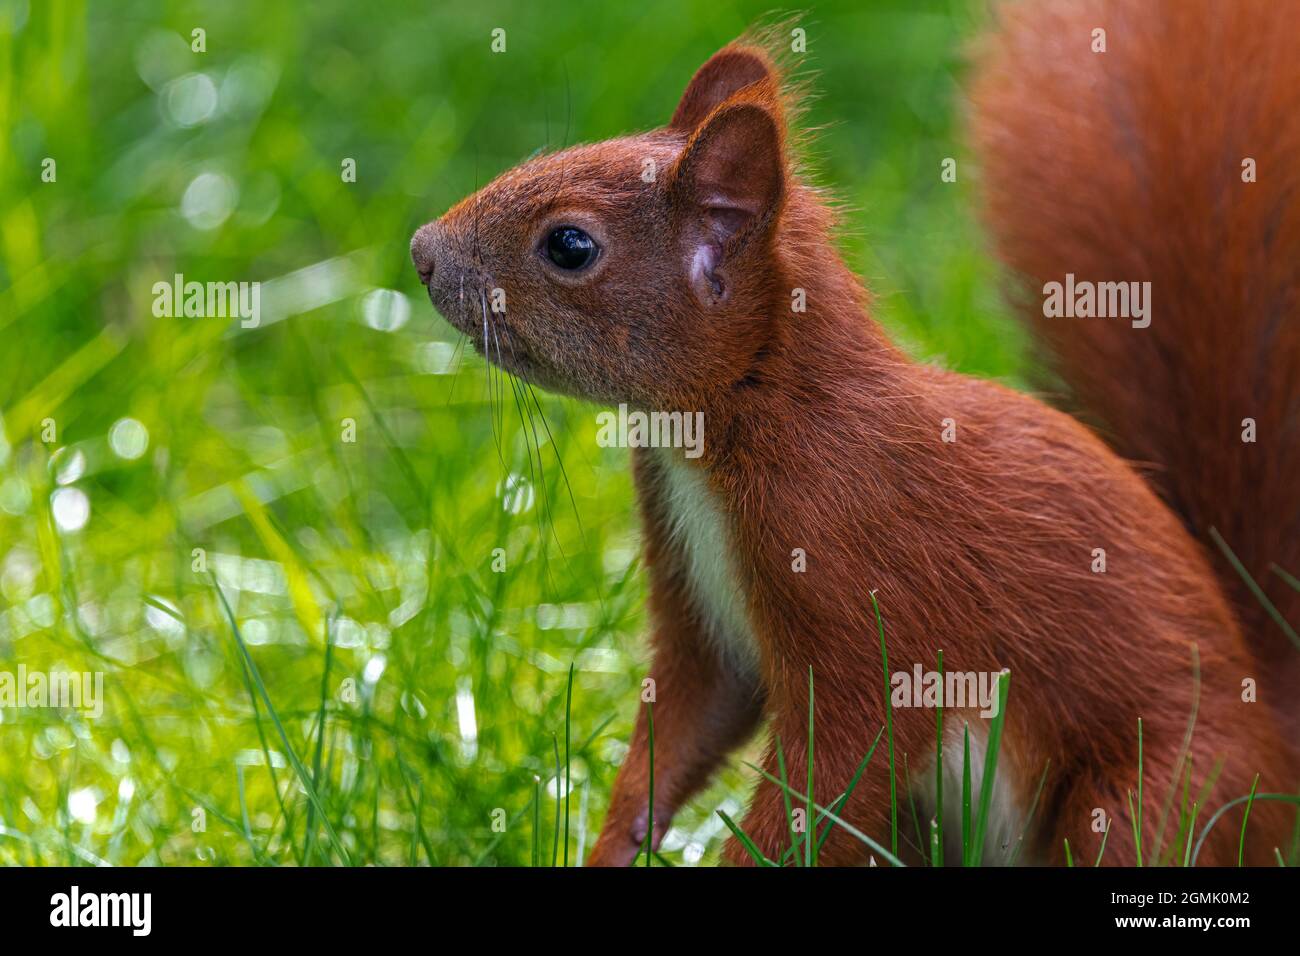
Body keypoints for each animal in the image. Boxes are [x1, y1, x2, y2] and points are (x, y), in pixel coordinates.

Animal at [411, 0, 1299, 866]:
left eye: (569, 245)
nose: (421, 251)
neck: (733, 425)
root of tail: (1277, 749)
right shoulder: (702, 613)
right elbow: (683, 730)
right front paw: (611, 845)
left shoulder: (868, 594)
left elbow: (836, 775)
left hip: (1151, 793)